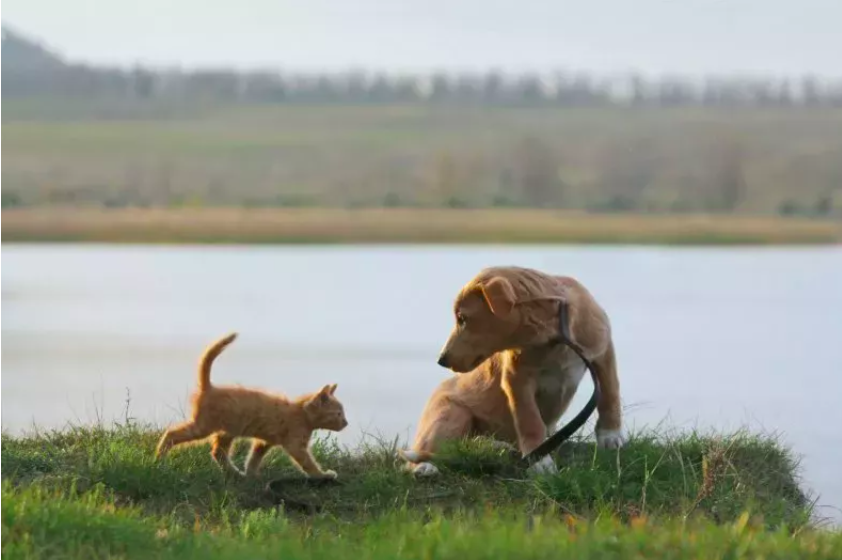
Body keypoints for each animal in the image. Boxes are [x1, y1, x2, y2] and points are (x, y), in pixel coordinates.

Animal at [153, 332, 344, 482]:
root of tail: (210, 387)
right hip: (204, 426)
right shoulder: (296, 444)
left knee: (218, 452)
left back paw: (235, 473)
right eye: (338, 413)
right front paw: (322, 475)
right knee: (172, 433)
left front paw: (251, 474)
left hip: (228, 429)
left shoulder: (264, 441)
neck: (301, 414)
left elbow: (254, 457)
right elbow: (307, 463)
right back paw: (159, 458)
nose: (346, 423)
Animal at [400, 266, 624, 476]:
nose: (441, 360)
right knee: (424, 453)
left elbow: (610, 392)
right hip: (450, 415)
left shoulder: (603, 353)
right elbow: (530, 419)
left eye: (462, 318)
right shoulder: (516, 379)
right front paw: (539, 461)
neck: (552, 338)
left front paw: (610, 435)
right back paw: (424, 468)